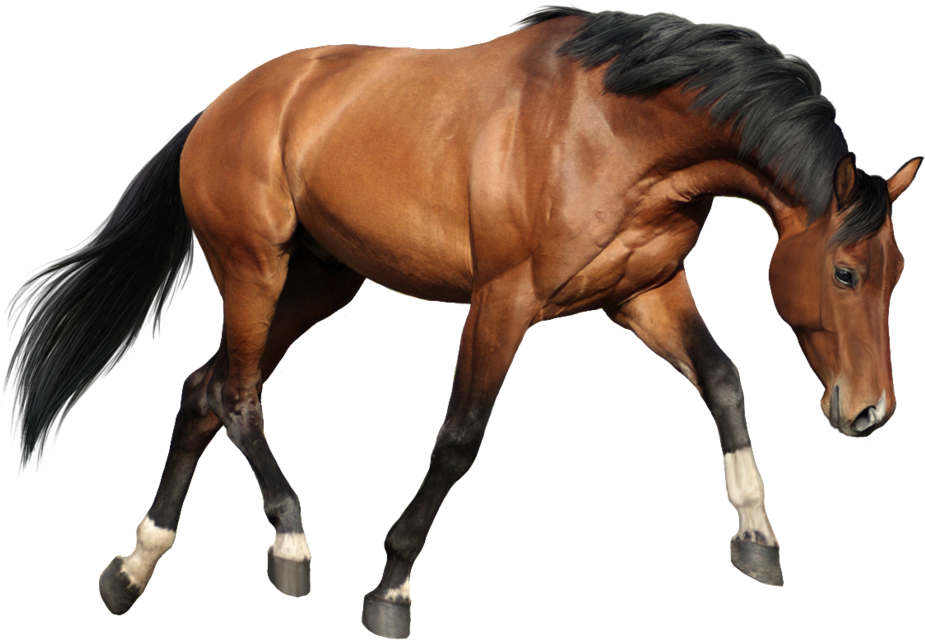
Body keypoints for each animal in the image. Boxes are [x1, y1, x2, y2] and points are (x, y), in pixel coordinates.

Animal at [6, 8, 917, 637]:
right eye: (843, 272)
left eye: (895, 274)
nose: (868, 412)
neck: (612, 129)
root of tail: (220, 108)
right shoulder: (502, 300)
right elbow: (459, 438)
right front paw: (390, 589)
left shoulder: (646, 290)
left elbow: (724, 382)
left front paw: (757, 538)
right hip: (253, 271)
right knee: (234, 396)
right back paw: (289, 545)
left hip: (319, 283)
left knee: (202, 391)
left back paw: (133, 568)